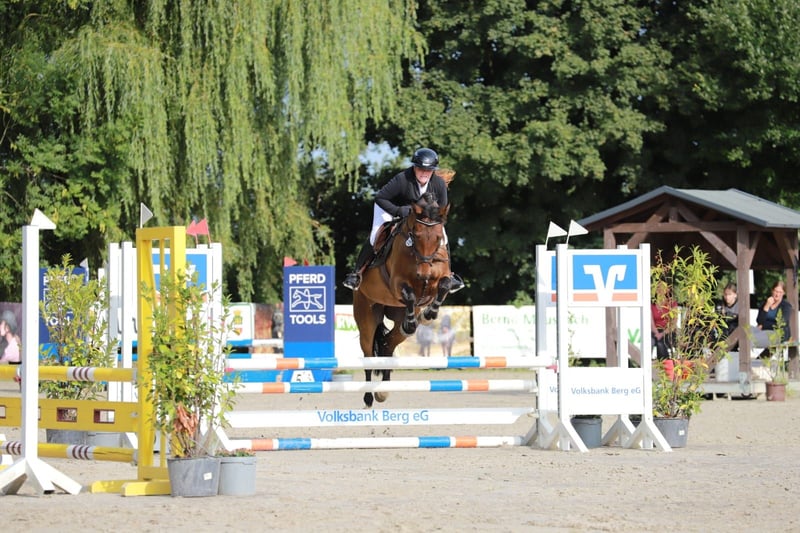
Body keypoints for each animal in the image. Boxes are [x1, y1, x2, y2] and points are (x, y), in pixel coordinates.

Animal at [353, 192, 453, 407]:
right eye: (416, 235)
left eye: (439, 238)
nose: (423, 273)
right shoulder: (396, 283)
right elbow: (409, 294)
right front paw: (418, 317)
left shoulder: (439, 279)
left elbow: (444, 285)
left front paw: (429, 313)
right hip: (366, 315)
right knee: (368, 353)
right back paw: (368, 397)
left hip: (396, 320)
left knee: (388, 344)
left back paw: (383, 391)